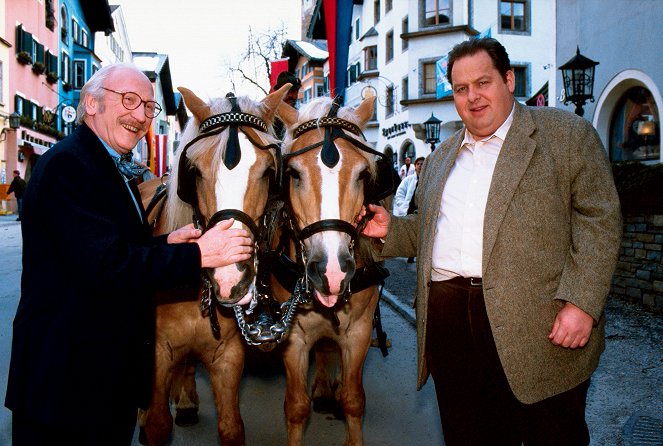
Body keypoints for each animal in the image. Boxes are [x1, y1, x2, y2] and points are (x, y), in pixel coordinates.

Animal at [137, 84, 288, 446]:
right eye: (194, 171)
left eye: (268, 172)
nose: (229, 278)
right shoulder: (157, 354)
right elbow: (158, 425)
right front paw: (149, 419)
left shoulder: (228, 356)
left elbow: (232, 428)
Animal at [270, 95, 392, 446]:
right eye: (294, 174)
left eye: (363, 174)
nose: (332, 272)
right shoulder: (293, 336)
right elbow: (296, 407)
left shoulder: (359, 331)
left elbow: (353, 399)